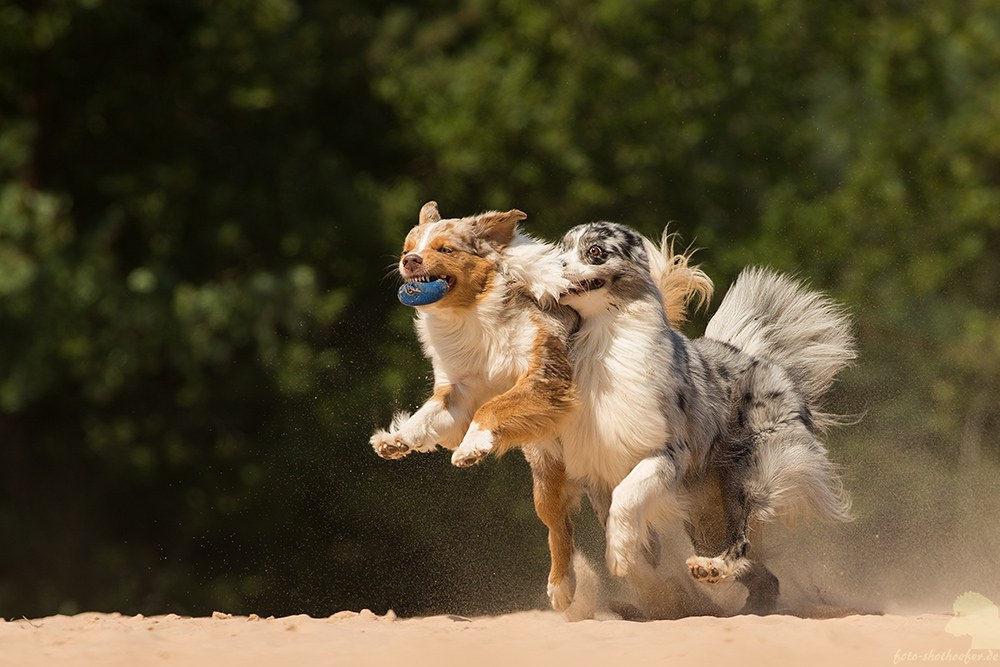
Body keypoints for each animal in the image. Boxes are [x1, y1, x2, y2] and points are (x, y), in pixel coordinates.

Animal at [372, 202, 708, 612]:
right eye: (407, 248)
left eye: (445, 249)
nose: (409, 261)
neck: (471, 315)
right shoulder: (458, 393)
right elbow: (429, 417)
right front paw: (398, 440)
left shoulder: (546, 376)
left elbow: (493, 408)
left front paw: (471, 447)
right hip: (546, 478)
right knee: (559, 526)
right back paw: (567, 588)